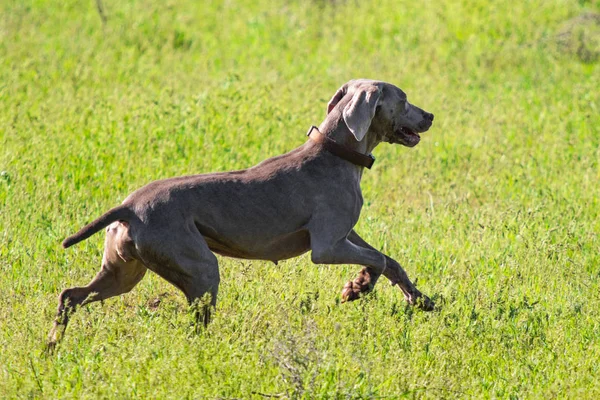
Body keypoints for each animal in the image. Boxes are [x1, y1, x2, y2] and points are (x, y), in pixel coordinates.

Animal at [47, 78, 434, 346]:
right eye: (403, 99)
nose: (430, 115)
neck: (336, 152)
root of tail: (129, 207)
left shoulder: (346, 234)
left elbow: (390, 261)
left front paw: (421, 299)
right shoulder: (326, 246)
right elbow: (378, 260)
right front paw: (357, 287)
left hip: (125, 271)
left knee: (70, 296)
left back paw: (52, 347)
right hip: (200, 268)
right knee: (195, 324)